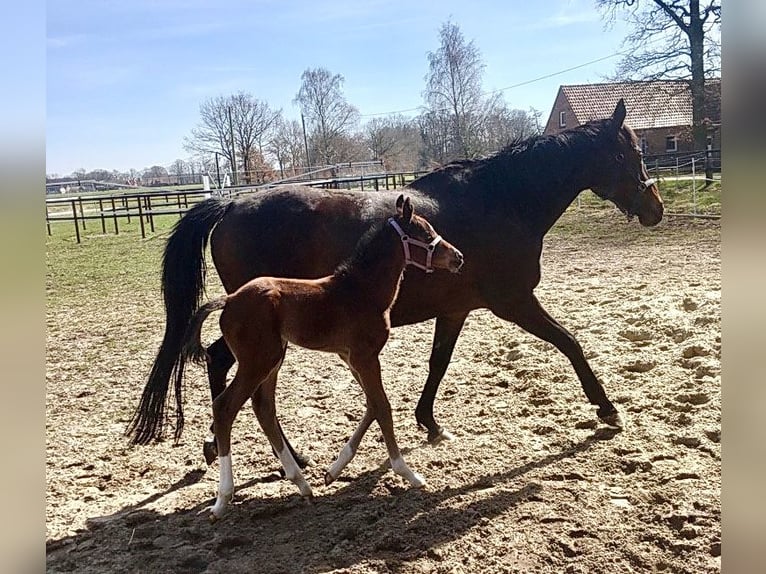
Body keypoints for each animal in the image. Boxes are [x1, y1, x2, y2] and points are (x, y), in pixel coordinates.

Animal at [183, 196, 464, 520]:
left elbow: (372, 404)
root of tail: (228, 300)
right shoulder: (366, 357)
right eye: (426, 234)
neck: (361, 290)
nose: (458, 258)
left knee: (263, 407)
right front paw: (408, 473)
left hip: (273, 359)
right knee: (225, 407)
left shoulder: (351, 358)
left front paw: (334, 470)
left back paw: (302, 483)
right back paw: (223, 499)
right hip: (257, 361)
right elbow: (382, 407)